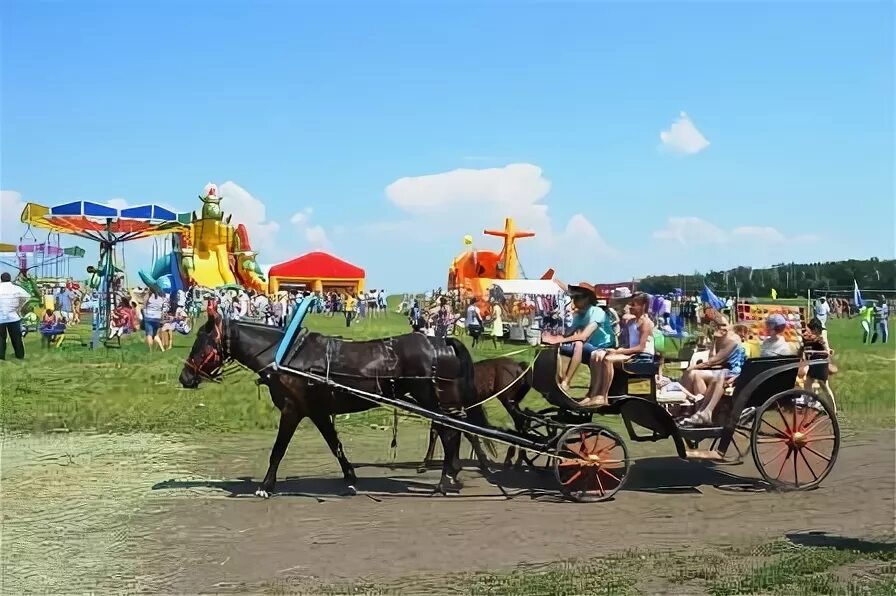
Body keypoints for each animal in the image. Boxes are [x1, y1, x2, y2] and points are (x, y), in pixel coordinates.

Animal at [179, 304, 494, 496]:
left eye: (202, 342)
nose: (184, 377)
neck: (286, 355)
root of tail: (441, 341)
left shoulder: (292, 410)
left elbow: (278, 450)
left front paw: (266, 486)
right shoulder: (316, 411)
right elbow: (335, 444)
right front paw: (350, 477)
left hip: (433, 400)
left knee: (450, 432)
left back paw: (445, 479)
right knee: (452, 431)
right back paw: (452, 473)